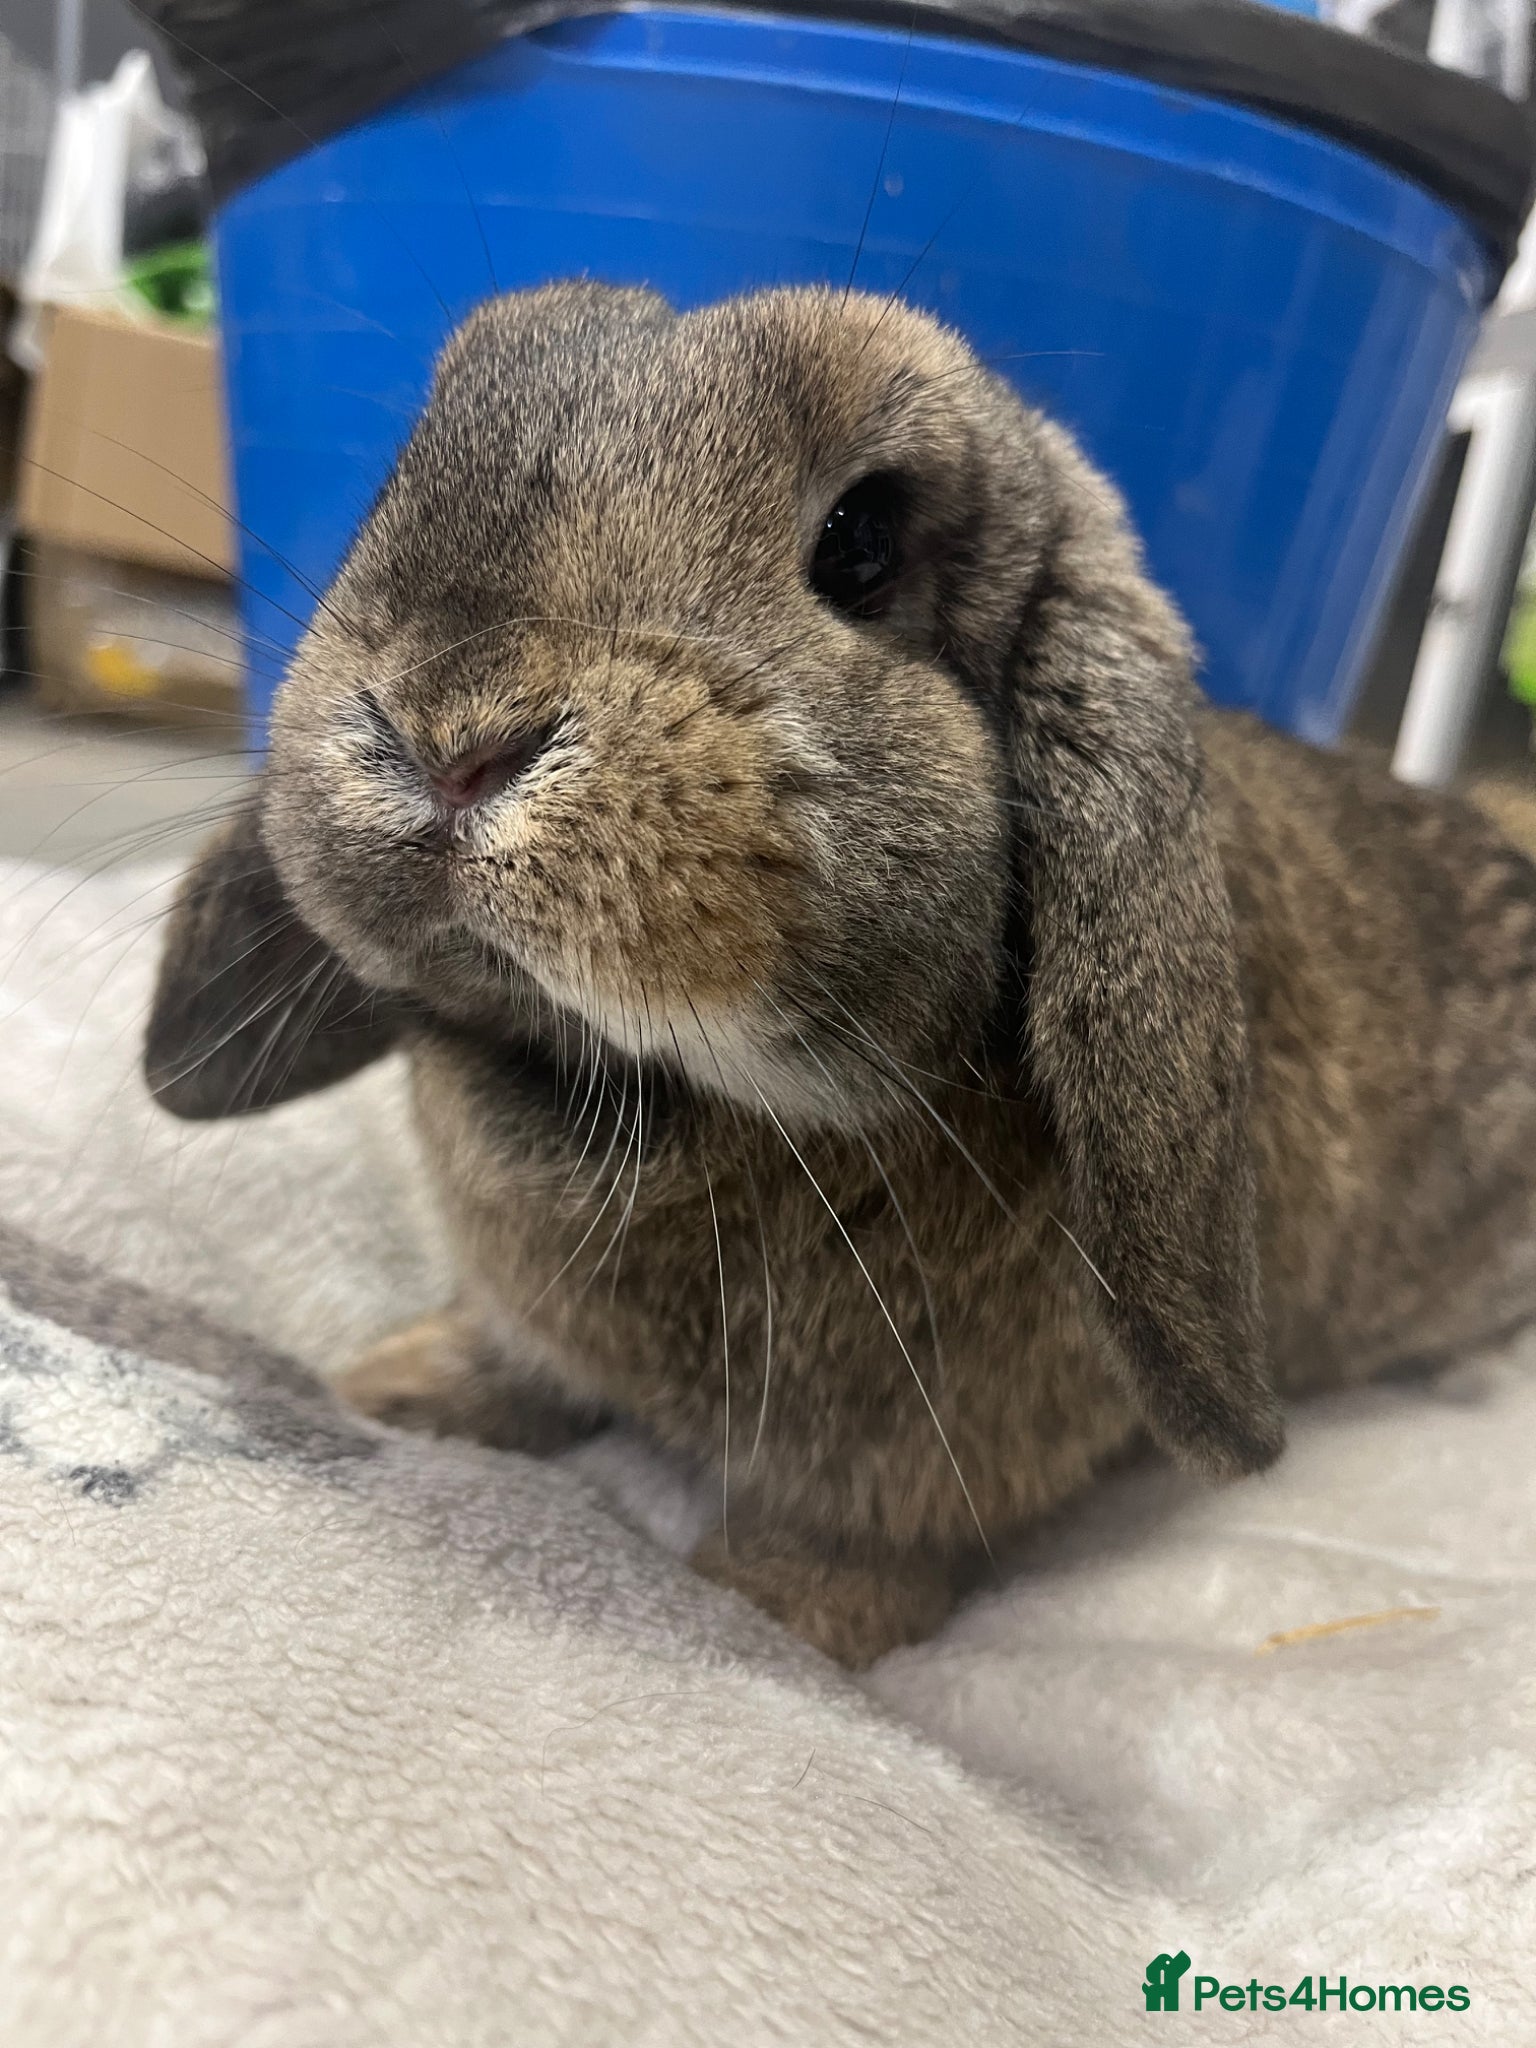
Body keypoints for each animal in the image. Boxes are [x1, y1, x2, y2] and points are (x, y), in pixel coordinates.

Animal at [144, 281, 1536, 1666]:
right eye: (403, 472)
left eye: (862, 539)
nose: (449, 733)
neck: (648, 1092)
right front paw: (391, 1386)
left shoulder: (932, 1462)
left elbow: (863, 1539)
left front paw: (774, 1612)